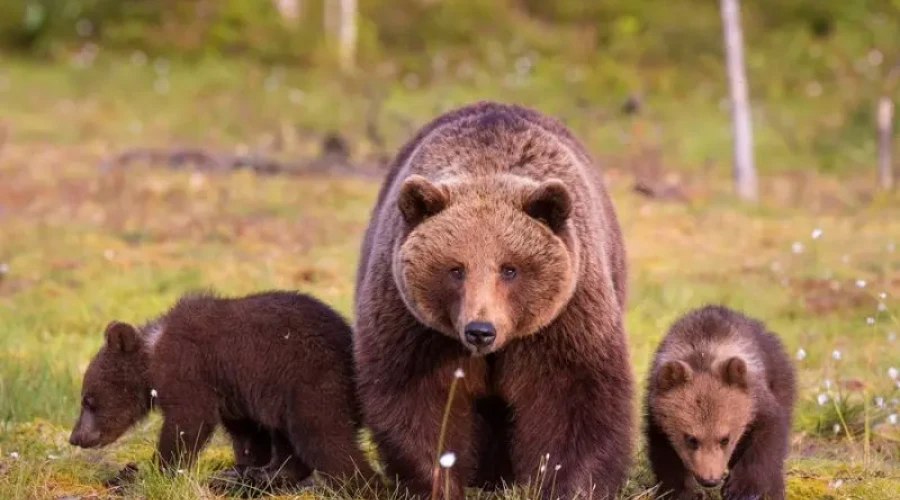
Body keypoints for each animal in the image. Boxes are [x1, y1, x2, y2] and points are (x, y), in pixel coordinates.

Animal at [354, 101, 632, 500]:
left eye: (510, 268)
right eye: (455, 269)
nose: (480, 330)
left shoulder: (564, 319)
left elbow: (575, 398)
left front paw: (568, 484)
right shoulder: (417, 327)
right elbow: (418, 399)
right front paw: (440, 482)